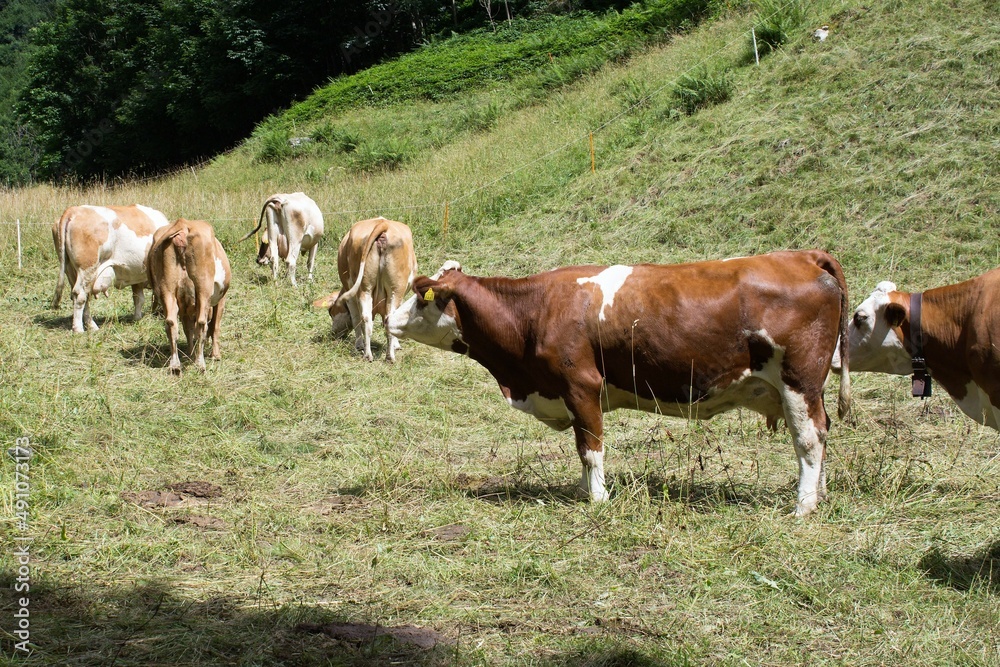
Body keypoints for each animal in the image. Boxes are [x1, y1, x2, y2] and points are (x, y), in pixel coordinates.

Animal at [51, 204, 170, 332]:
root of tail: (73, 210)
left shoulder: (136, 276)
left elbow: (138, 298)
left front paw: (137, 318)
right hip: (87, 269)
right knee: (80, 296)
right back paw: (78, 329)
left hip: (72, 271)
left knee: (83, 297)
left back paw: (92, 325)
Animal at [147, 219, 231, 374]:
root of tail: (183, 226)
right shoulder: (221, 299)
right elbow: (214, 326)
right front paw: (215, 355)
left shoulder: (184, 308)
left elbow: (188, 329)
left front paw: (189, 353)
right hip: (203, 286)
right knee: (202, 323)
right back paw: (200, 364)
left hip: (167, 289)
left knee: (171, 322)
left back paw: (175, 365)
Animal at [313, 217, 417, 363]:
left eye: (330, 312)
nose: (333, 333)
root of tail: (382, 223)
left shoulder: (350, 295)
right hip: (388, 290)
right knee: (371, 318)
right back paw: (383, 355)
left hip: (368, 289)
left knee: (367, 318)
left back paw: (372, 355)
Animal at [387, 250, 851, 516]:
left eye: (420, 297)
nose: (389, 319)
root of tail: (802, 255)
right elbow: (582, 448)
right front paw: (584, 491)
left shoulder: (581, 385)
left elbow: (591, 449)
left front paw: (597, 498)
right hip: (808, 388)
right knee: (822, 431)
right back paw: (821, 493)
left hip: (798, 379)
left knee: (809, 438)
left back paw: (803, 506)